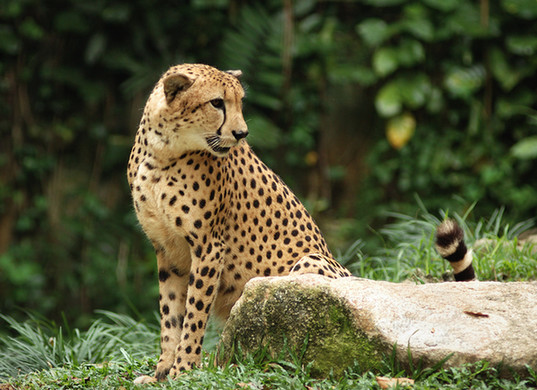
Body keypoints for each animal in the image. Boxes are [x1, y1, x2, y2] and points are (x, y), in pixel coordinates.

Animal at [127, 64, 350, 384]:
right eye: (217, 103)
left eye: (240, 102)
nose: (241, 133)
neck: (162, 152)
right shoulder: (166, 250)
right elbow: (170, 315)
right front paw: (162, 372)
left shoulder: (209, 247)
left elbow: (194, 314)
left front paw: (184, 370)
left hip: (309, 264)